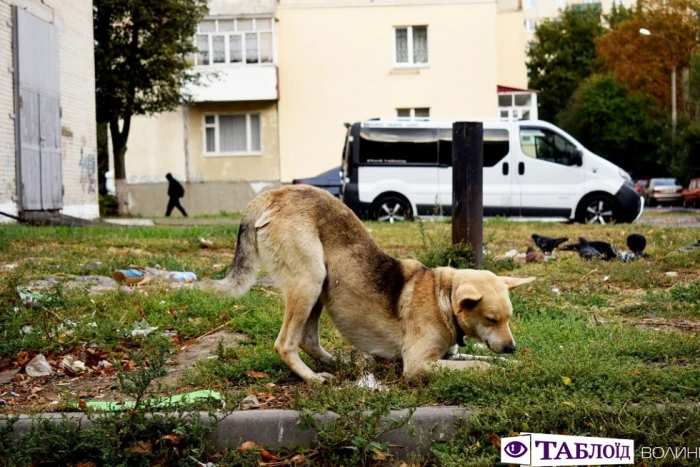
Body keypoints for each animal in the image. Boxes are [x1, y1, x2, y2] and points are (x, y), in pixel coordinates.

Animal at [202, 185, 536, 382]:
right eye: (491, 319)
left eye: (508, 318)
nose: (512, 348)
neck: (443, 297)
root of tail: (275, 193)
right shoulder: (418, 365)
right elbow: (481, 365)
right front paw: (499, 368)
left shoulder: (449, 355)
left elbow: (481, 357)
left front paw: (515, 365)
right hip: (309, 280)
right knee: (285, 344)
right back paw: (312, 378)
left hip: (319, 287)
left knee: (308, 340)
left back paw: (339, 364)